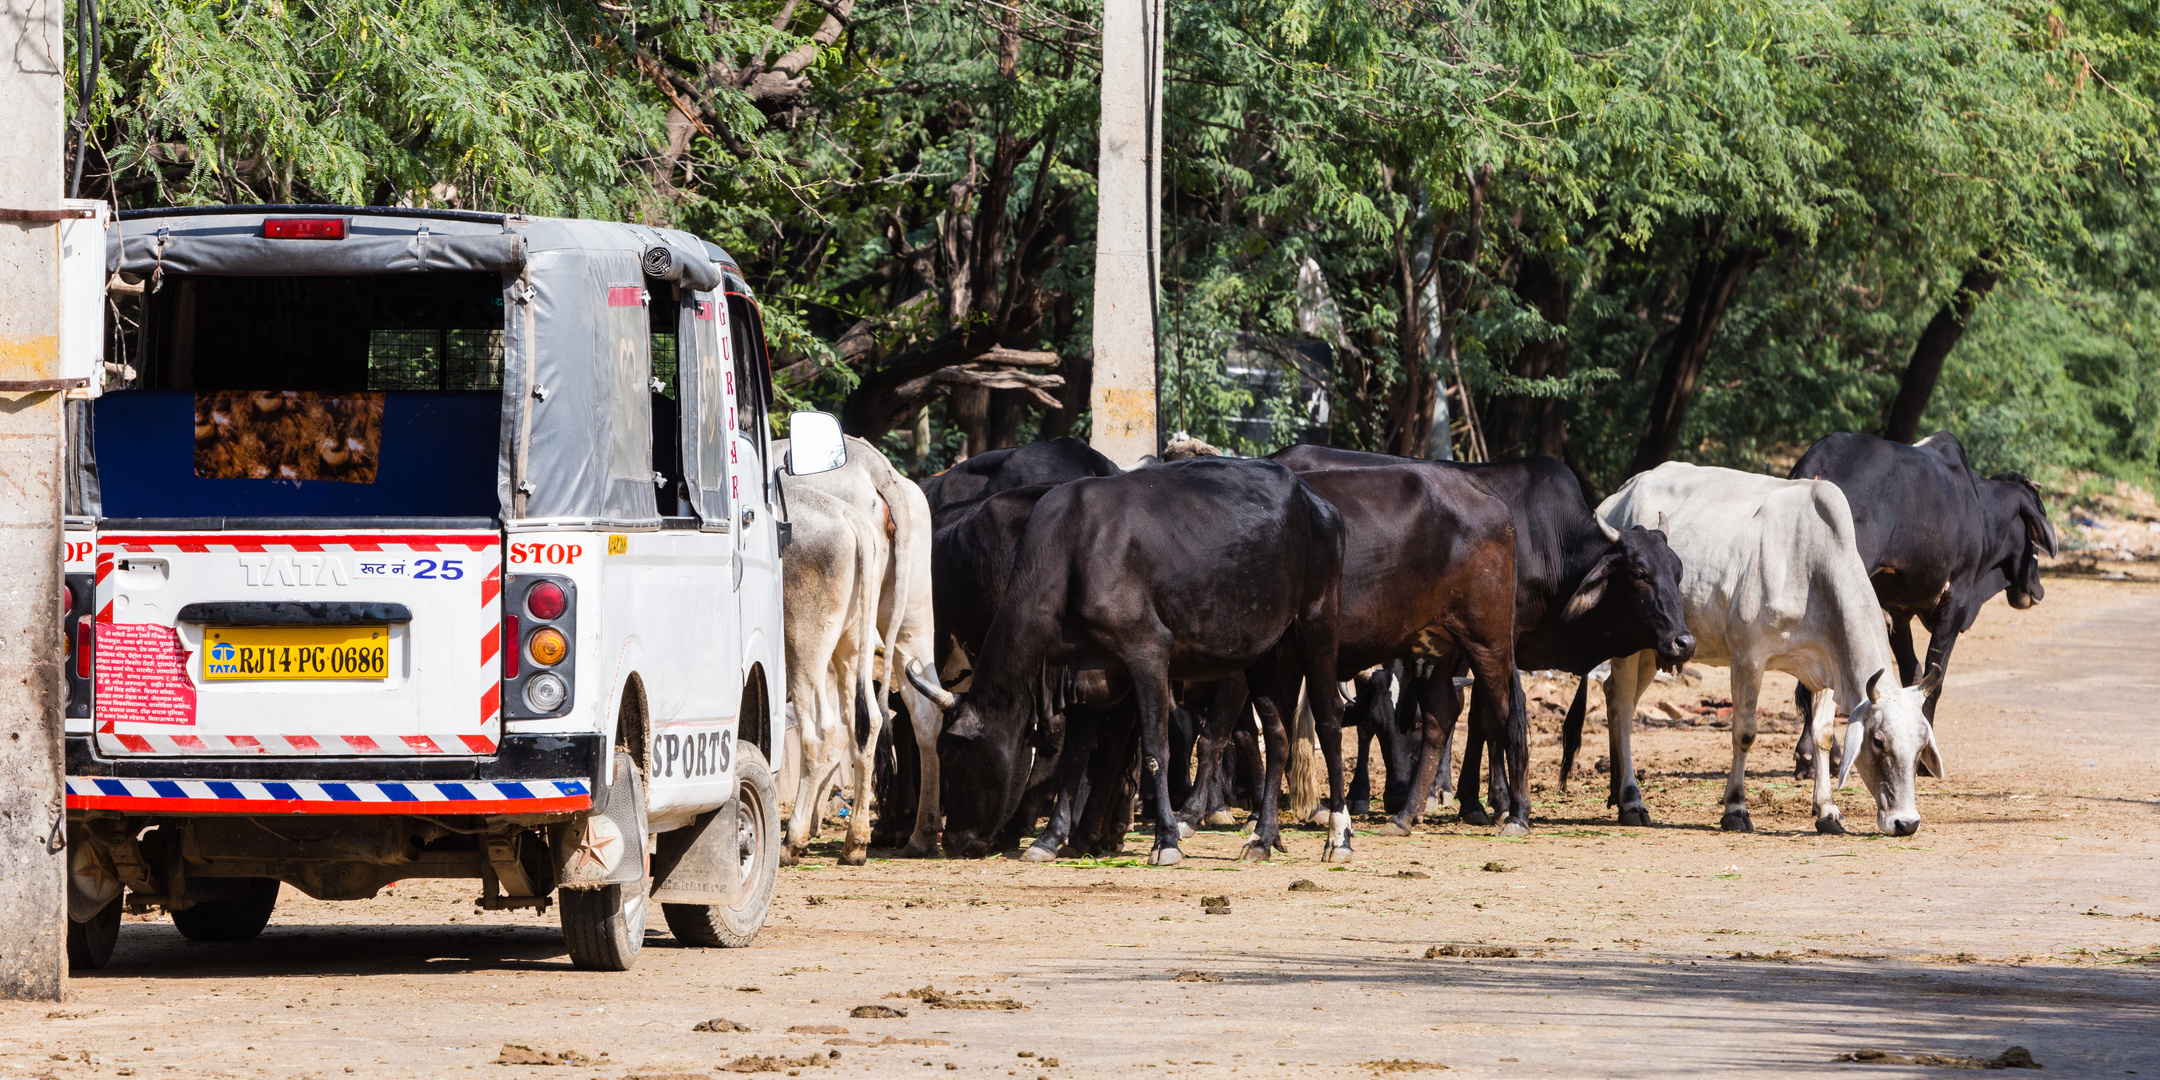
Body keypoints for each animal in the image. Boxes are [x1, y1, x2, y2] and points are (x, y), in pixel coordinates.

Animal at [933, 460, 1339, 864]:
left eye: (950, 753)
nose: (951, 842)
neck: (1072, 551)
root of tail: (1314, 499)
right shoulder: (1086, 678)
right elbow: (1075, 758)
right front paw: (1050, 839)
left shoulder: (1148, 652)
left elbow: (1156, 749)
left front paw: (1166, 840)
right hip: (1263, 652)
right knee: (1278, 736)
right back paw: (1263, 838)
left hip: (1316, 630)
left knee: (1329, 726)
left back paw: (1338, 839)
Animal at [1589, 462, 1944, 833]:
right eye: (1878, 742)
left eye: (1921, 745)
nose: (1906, 823)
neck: (1810, 566)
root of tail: (1616, 497)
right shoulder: (1748, 656)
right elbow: (1745, 732)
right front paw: (1735, 808)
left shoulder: (1826, 668)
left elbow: (1822, 734)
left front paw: (1828, 810)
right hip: (1628, 645)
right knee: (1624, 706)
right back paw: (1632, 800)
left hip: (1653, 650)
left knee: (1616, 697)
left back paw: (1617, 793)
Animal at [1788, 429, 2056, 734]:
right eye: (2033, 535)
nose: (2037, 590)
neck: (1980, 508)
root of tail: (1817, 462)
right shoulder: (1956, 601)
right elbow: (1933, 680)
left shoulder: (1896, 609)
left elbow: (1912, 674)